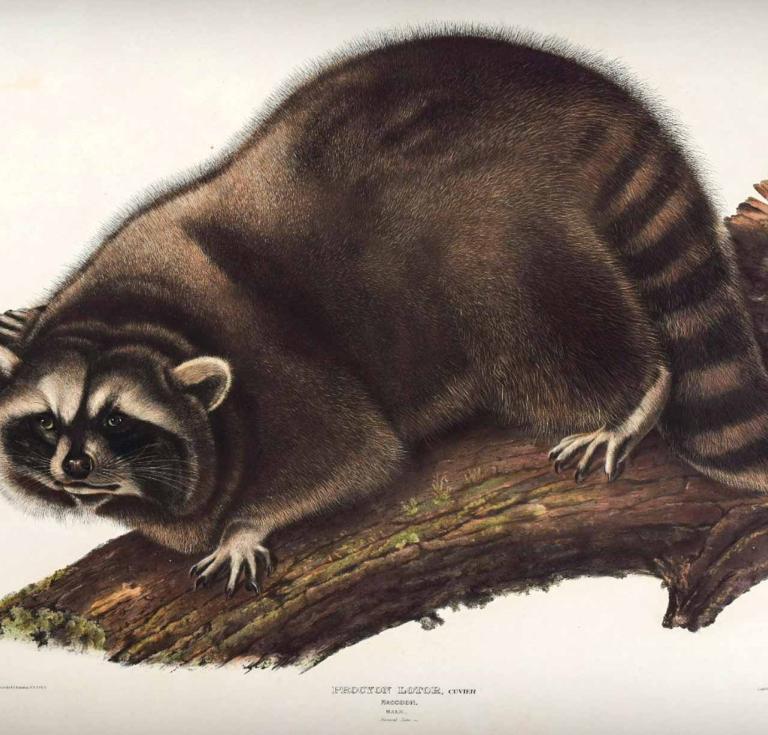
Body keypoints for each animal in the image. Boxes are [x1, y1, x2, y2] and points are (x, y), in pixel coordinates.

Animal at [0, 31, 762, 596]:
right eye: (47, 423)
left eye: (117, 421)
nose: (74, 466)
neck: (136, 317)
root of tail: (585, 98)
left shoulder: (280, 368)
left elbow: (356, 455)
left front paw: (245, 525)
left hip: (502, 233)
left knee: (538, 324)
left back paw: (636, 393)